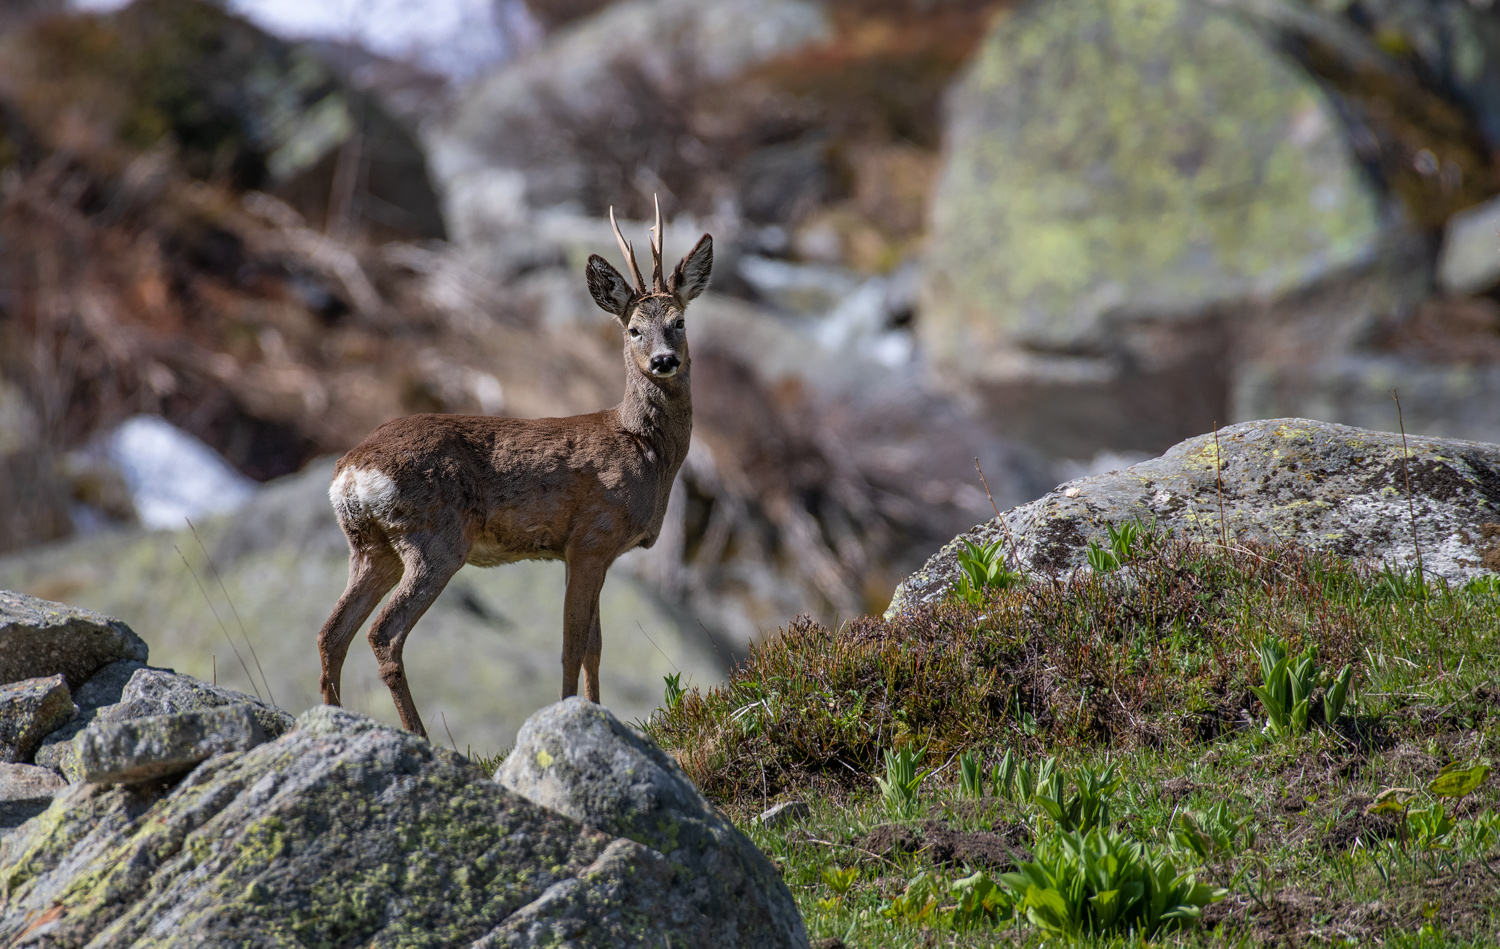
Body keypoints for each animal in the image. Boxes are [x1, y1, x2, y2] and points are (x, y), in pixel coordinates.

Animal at [315, 199, 711, 737]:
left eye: (679, 322)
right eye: (634, 330)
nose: (665, 360)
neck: (643, 448)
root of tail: (350, 472)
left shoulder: (586, 553)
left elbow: (594, 647)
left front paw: (598, 712)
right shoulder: (591, 539)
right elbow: (572, 647)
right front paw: (569, 715)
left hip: (370, 547)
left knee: (332, 632)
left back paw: (328, 719)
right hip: (434, 538)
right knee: (383, 634)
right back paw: (419, 734)